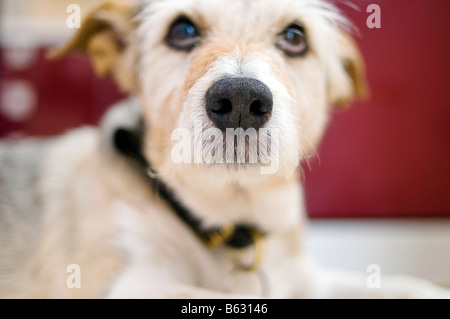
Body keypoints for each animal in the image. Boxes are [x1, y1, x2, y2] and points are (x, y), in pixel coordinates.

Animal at [0, 0, 450, 300]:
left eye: (294, 37)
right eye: (181, 31)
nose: (240, 100)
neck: (233, 216)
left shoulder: (306, 279)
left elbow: (407, 287)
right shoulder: (129, 283)